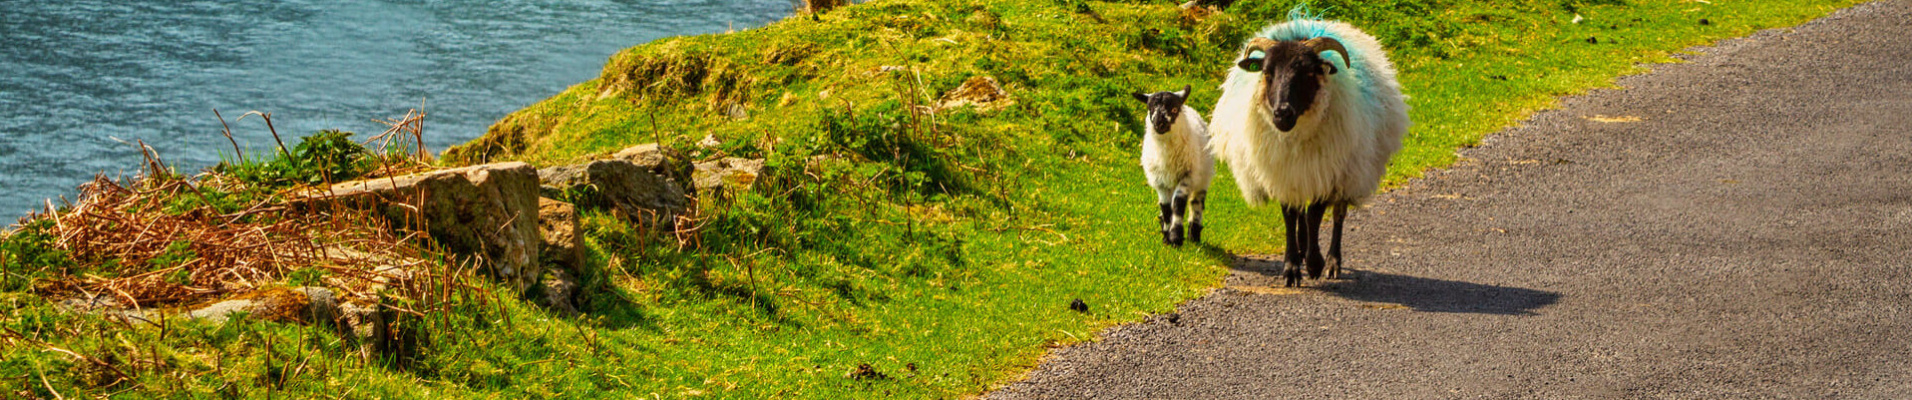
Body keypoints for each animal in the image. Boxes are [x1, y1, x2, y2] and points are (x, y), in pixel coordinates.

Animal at [1124, 85, 1216, 246]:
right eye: (1150, 109)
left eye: (1174, 109)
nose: (1159, 123)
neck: (1167, 155)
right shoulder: (1160, 181)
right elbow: (1166, 208)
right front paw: (1167, 236)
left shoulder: (1187, 175)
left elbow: (1178, 203)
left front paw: (1176, 236)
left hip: (1203, 177)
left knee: (1196, 203)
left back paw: (1194, 235)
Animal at [1208, 14, 1407, 285]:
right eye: (1267, 72)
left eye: (1308, 73)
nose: (1282, 113)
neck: (1294, 136)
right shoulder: (1283, 173)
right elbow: (1290, 216)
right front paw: (1292, 266)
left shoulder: (1328, 173)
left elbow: (1315, 214)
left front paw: (1315, 263)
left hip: (1350, 170)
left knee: (1338, 215)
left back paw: (1332, 262)